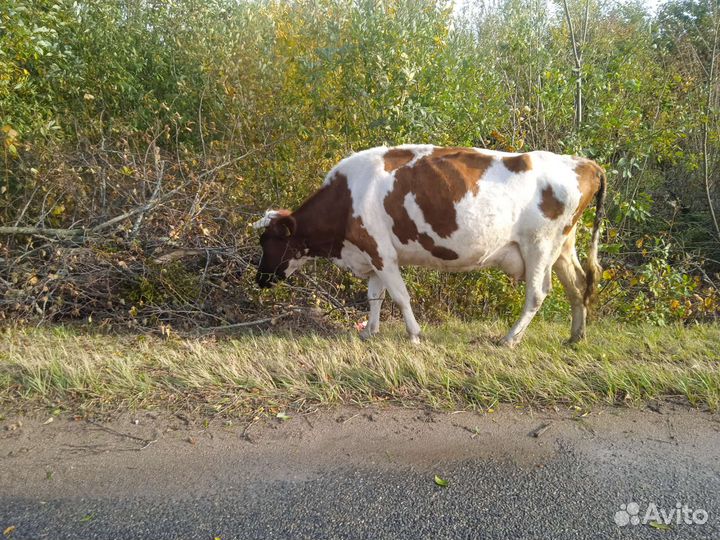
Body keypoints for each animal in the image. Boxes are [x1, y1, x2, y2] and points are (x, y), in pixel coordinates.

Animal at [253, 145, 606, 347]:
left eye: (269, 240)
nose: (260, 279)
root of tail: (583, 163)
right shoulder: (372, 252)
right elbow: (375, 296)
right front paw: (370, 332)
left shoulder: (381, 251)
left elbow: (399, 296)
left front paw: (414, 335)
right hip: (563, 246)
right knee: (578, 286)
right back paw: (576, 337)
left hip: (539, 245)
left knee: (537, 293)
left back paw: (509, 339)